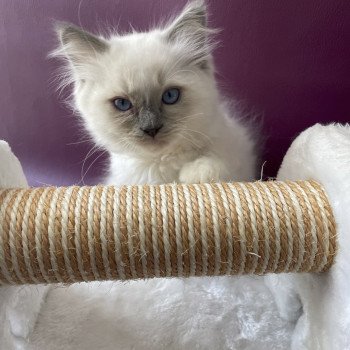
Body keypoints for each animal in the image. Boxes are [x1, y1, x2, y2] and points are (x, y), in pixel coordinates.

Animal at [51, 0, 258, 186]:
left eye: (170, 96)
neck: (162, 164)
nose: (151, 129)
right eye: (122, 104)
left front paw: (197, 174)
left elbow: (217, 165)